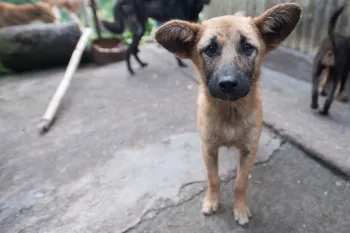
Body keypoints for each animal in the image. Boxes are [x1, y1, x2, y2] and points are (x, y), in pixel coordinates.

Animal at [156, 2, 300, 225]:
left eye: (247, 47)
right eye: (210, 49)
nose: (228, 84)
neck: (229, 113)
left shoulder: (248, 151)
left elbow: (240, 183)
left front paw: (239, 209)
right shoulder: (208, 149)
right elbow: (213, 179)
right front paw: (211, 201)